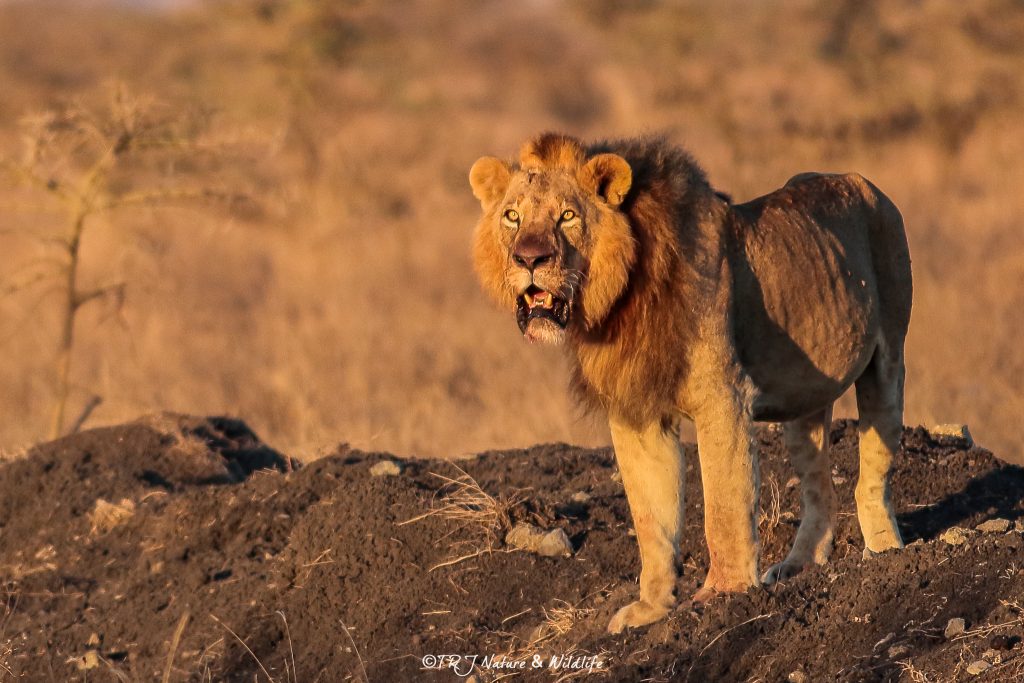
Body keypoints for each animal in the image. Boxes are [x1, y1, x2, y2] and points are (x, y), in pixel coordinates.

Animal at [468, 133, 913, 634]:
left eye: (567, 216)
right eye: (512, 216)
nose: (529, 258)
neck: (623, 299)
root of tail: (863, 182)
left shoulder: (723, 398)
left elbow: (723, 502)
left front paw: (726, 594)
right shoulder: (636, 415)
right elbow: (651, 518)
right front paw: (652, 608)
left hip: (888, 356)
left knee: (873, 468)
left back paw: (885, 553)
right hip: (806, 395)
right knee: (819, 484)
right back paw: (799, 565)